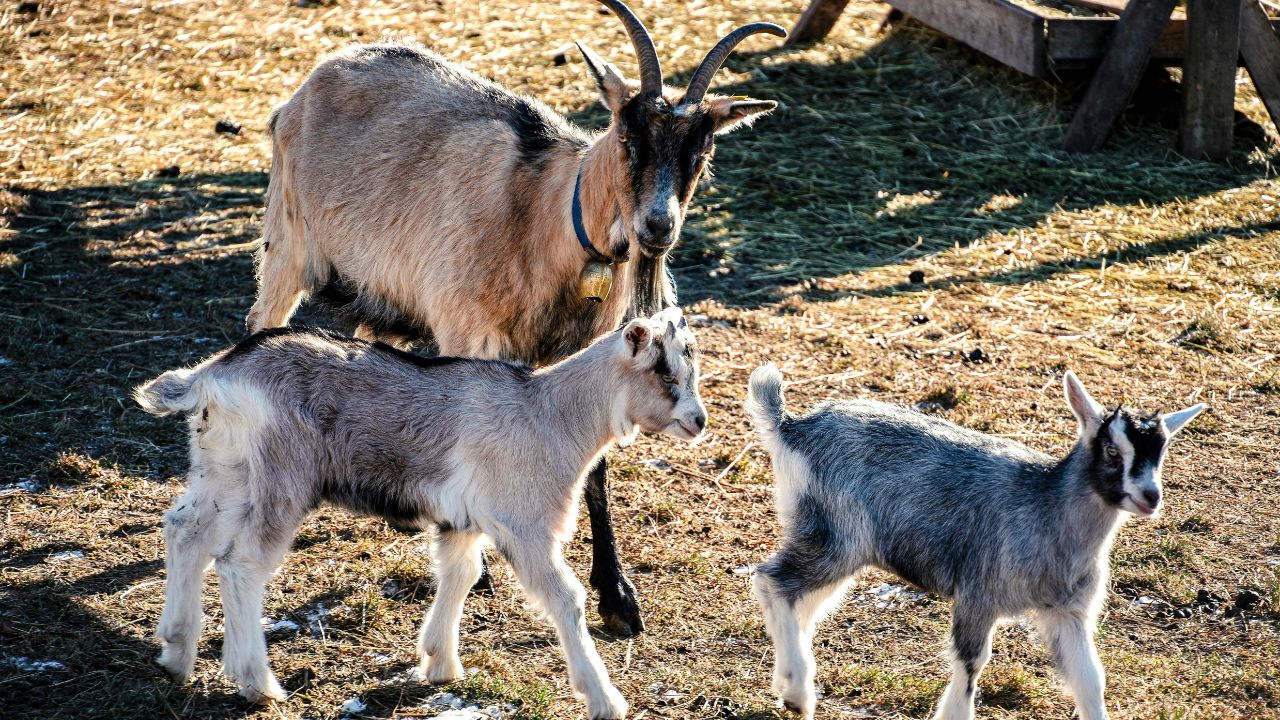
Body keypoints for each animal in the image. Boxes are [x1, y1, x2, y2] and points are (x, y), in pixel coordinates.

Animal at [133, 307, 705, 719]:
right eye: (664, 372)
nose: (699, 421)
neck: (549, 413)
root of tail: (216, 374)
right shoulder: (525, 524)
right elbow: (567, 600)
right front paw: (605, 699)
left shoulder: (463, 522)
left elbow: (460, 574)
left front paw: (440, 664)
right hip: (279, 479)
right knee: (242, 564)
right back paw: (257, 683)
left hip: (225, 470)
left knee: (184, 531)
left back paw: (176, 652)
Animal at [247, 0, 784, 636]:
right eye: (628, 135)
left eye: (700, 153)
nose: (658, 227)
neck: (543, 217)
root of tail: (315, 80)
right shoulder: (467, 332)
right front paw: (477, 569)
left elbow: (595, 465)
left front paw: (617, 596)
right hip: (287, 243)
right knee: (261, 322)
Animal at [745, 364, 1204, 720]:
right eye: (1112, 449)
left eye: (1161, 452)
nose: (1150, 497)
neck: (1047, 506)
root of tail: (792, 427)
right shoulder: (979, 594)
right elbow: (971, 665)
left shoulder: (1067, 612)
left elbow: (1091, 680)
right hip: (837, 536)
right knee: (771, 579)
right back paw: (798, 692)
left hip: (829, 538)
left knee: (801, 601)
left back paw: (789, 680)